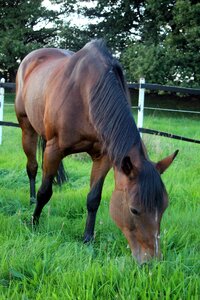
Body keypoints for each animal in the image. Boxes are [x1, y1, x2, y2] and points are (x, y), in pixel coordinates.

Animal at [15, 39, 178, 262]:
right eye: (134, 210)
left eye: (164, 207)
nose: (152, 261)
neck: (87, 94)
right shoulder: (54, 149)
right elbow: (45, 191)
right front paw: (34, 223)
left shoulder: (104, 157)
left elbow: (94, 199)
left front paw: (87, 238)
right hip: (27, 128)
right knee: (32, 167)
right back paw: (31, 199)